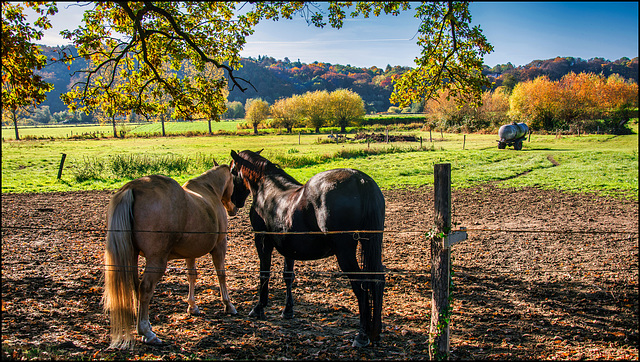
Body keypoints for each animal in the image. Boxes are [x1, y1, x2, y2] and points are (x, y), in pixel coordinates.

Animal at [104, 162, 239, 348]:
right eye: (234, 179)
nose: (234, 208)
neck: (209, 190)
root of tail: (132, 188)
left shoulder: (191, 252)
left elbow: (192, 276)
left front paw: (192, 306)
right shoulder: (220, 246)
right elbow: (221, 275)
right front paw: (228, 305)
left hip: (131, 257)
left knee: (135, 287)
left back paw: (146, 326)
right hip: (156, 260)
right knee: (145, 288)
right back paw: (147, 332)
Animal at [230, 150, 384, 348]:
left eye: (232, 170)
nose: (234, 201)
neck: (268, 191)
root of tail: (360, 180)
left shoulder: (262, 240)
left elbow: (264, 273)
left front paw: (259, 307)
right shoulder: (289, 247)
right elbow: (288, 276)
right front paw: (287, 310)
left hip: (345, 253)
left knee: (361, 283)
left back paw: (362, 335)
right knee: (378, 279)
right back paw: (376, 332)